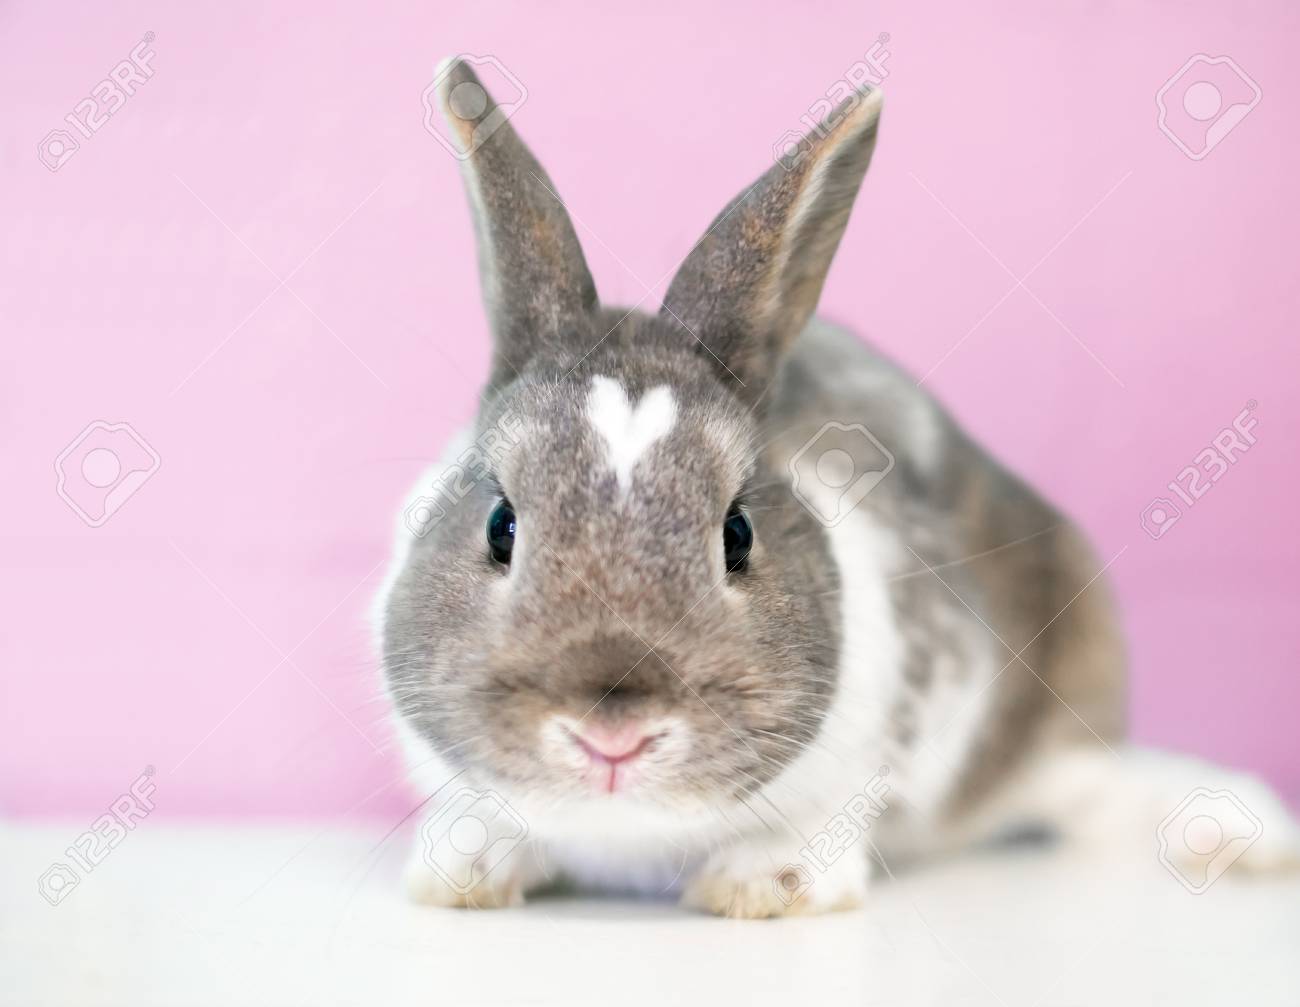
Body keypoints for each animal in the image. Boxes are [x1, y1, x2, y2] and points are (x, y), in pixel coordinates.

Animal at [375, 57, 1299, 917]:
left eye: (737, 535)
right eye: (501, 525)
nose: (613, 731)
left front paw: (763, 884)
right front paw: (460, 872)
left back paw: (1236, 833)